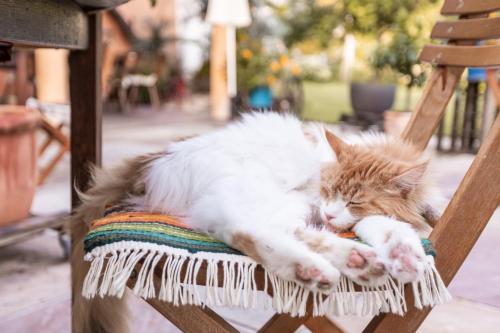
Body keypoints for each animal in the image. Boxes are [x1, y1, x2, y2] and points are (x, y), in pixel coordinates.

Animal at [70, 112, 438, 332]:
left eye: (354, 200)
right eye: (330, 189)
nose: (330, 212)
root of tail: (151, 161)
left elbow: (386, 225)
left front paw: (404, 254)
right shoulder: (317, 202)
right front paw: (401, 252)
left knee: (273, 230)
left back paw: (354, 261)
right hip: (260, 191)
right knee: (239, 227)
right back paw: (317, 266)